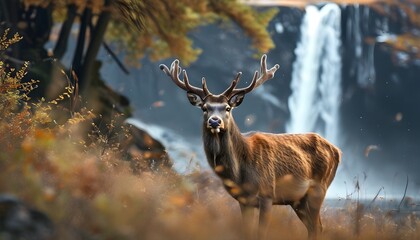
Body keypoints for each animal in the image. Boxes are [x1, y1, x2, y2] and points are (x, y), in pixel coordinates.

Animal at [159, 55, 340, 239]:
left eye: (227, 108)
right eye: (204, 108)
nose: (214, 121)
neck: (240, 173)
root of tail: (337, 150)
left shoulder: (267, 193)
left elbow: (261, 233)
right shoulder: (243, 200)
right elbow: (246, 231)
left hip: (319, 188)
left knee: (317, 226)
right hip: (298, 200)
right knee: (314, 227)